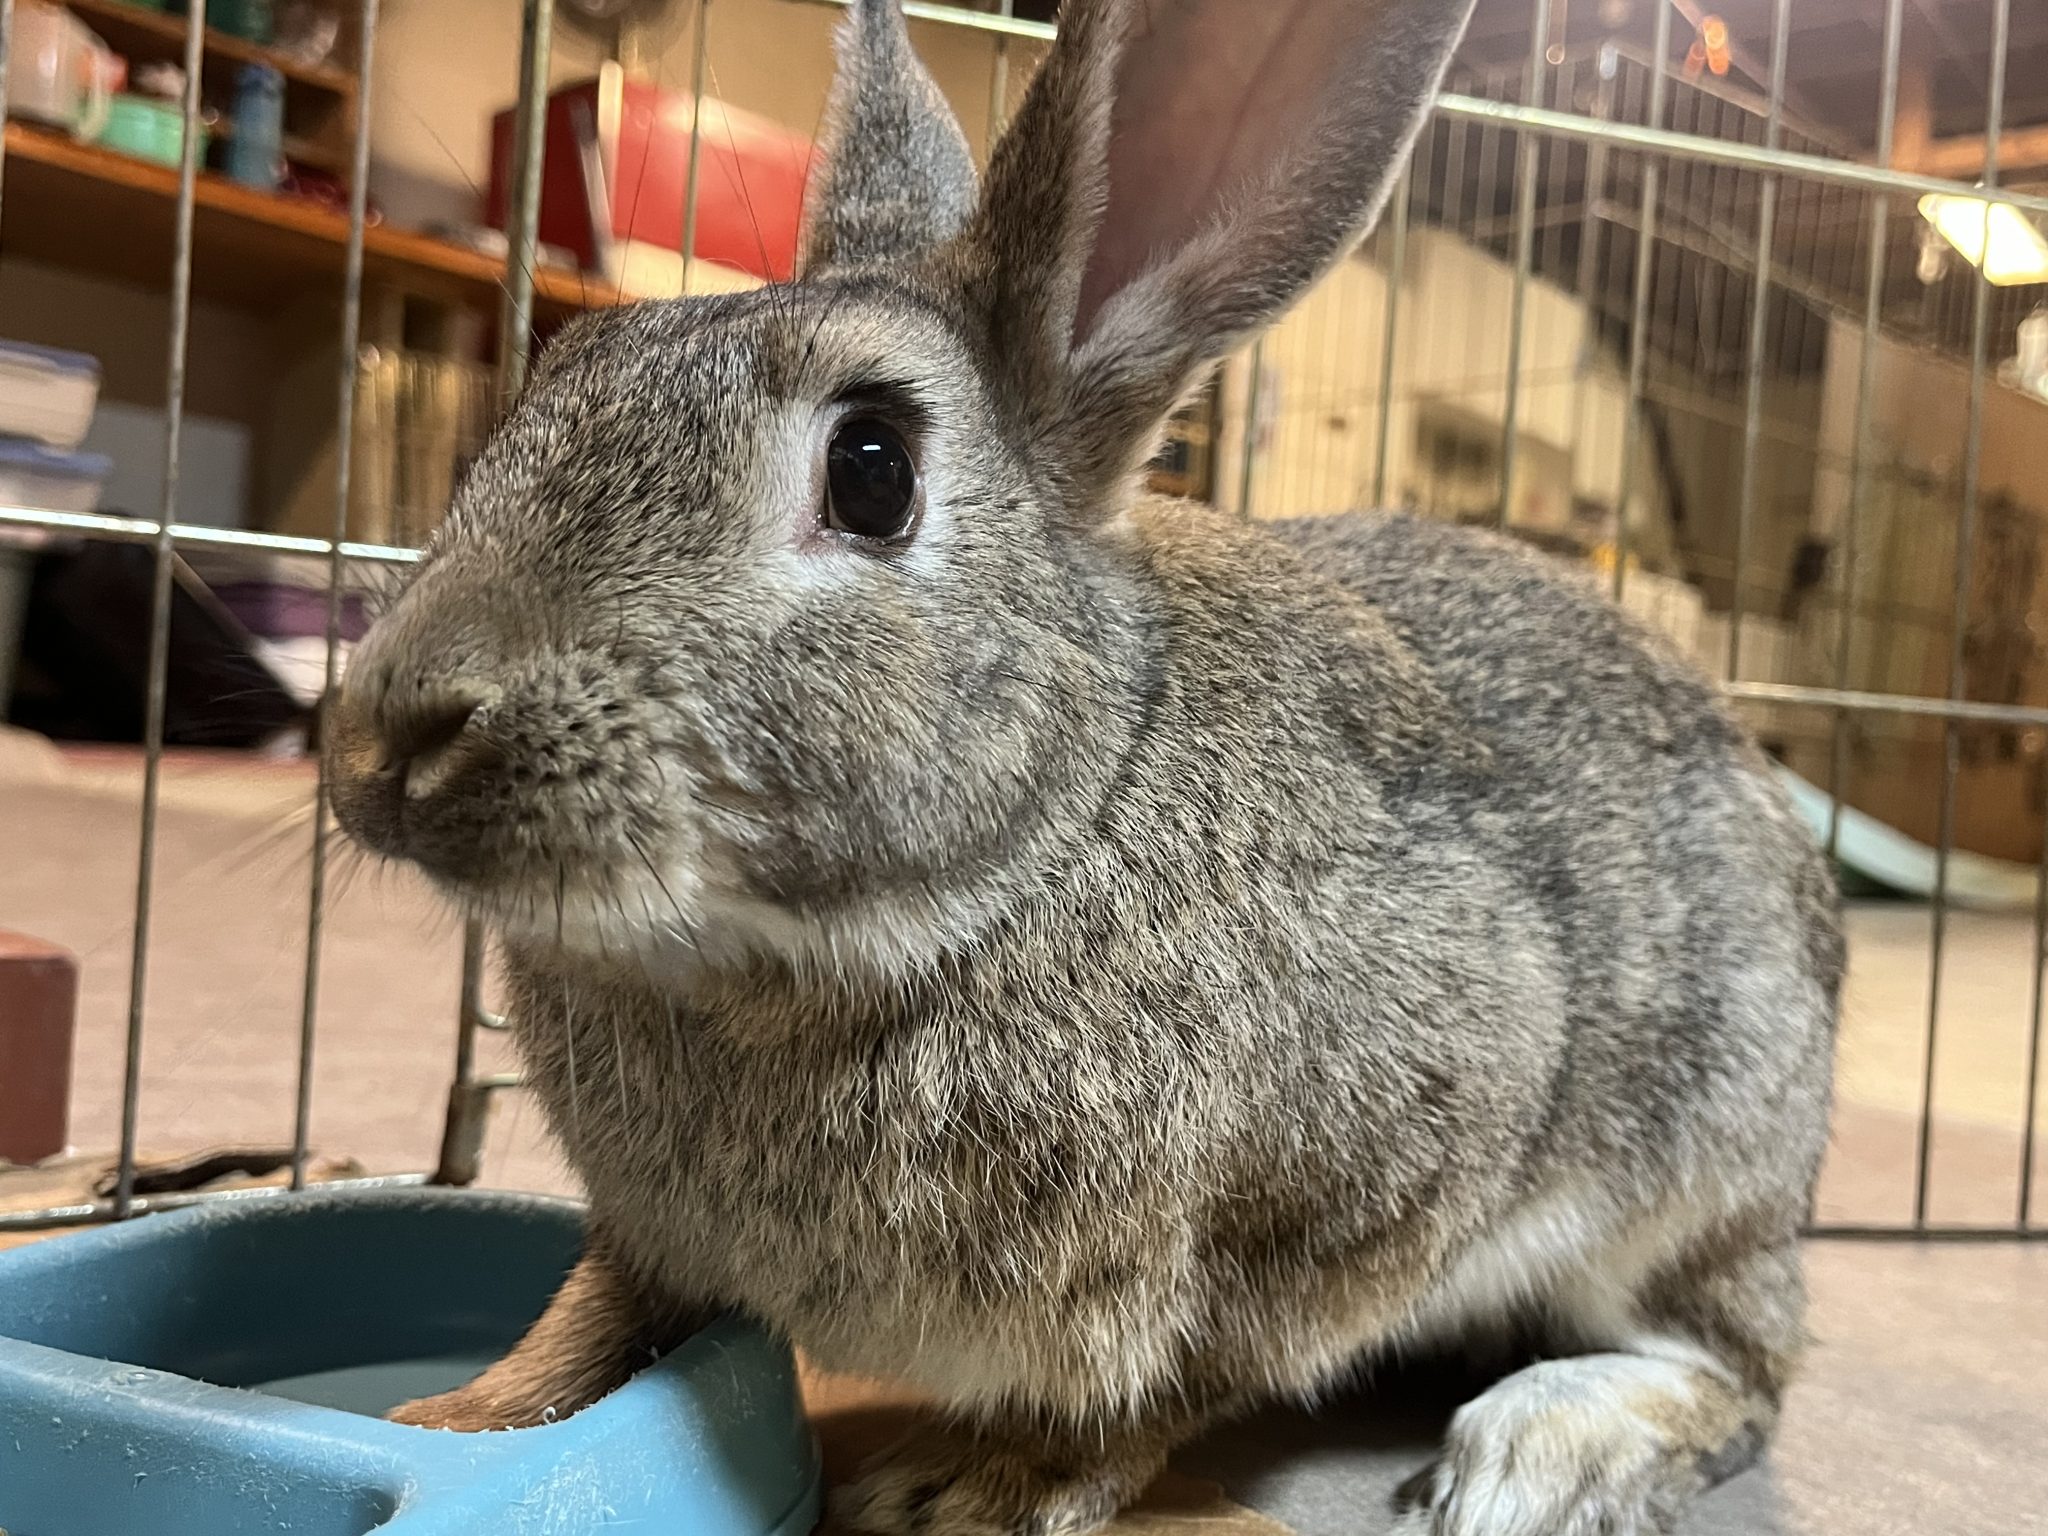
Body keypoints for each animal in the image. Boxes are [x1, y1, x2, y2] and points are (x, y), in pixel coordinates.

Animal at [324, 1, 1842, 1533]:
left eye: (870, 468)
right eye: (556, 381)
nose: (392, 737)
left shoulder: (1360, 1185)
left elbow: (1172, 1384)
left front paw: (974, 1488)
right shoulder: (649, 1241)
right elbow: (590, 1325)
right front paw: (448, 1416)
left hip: (1694, 1162)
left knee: (1738, 1366)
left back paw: (1542, 1452)